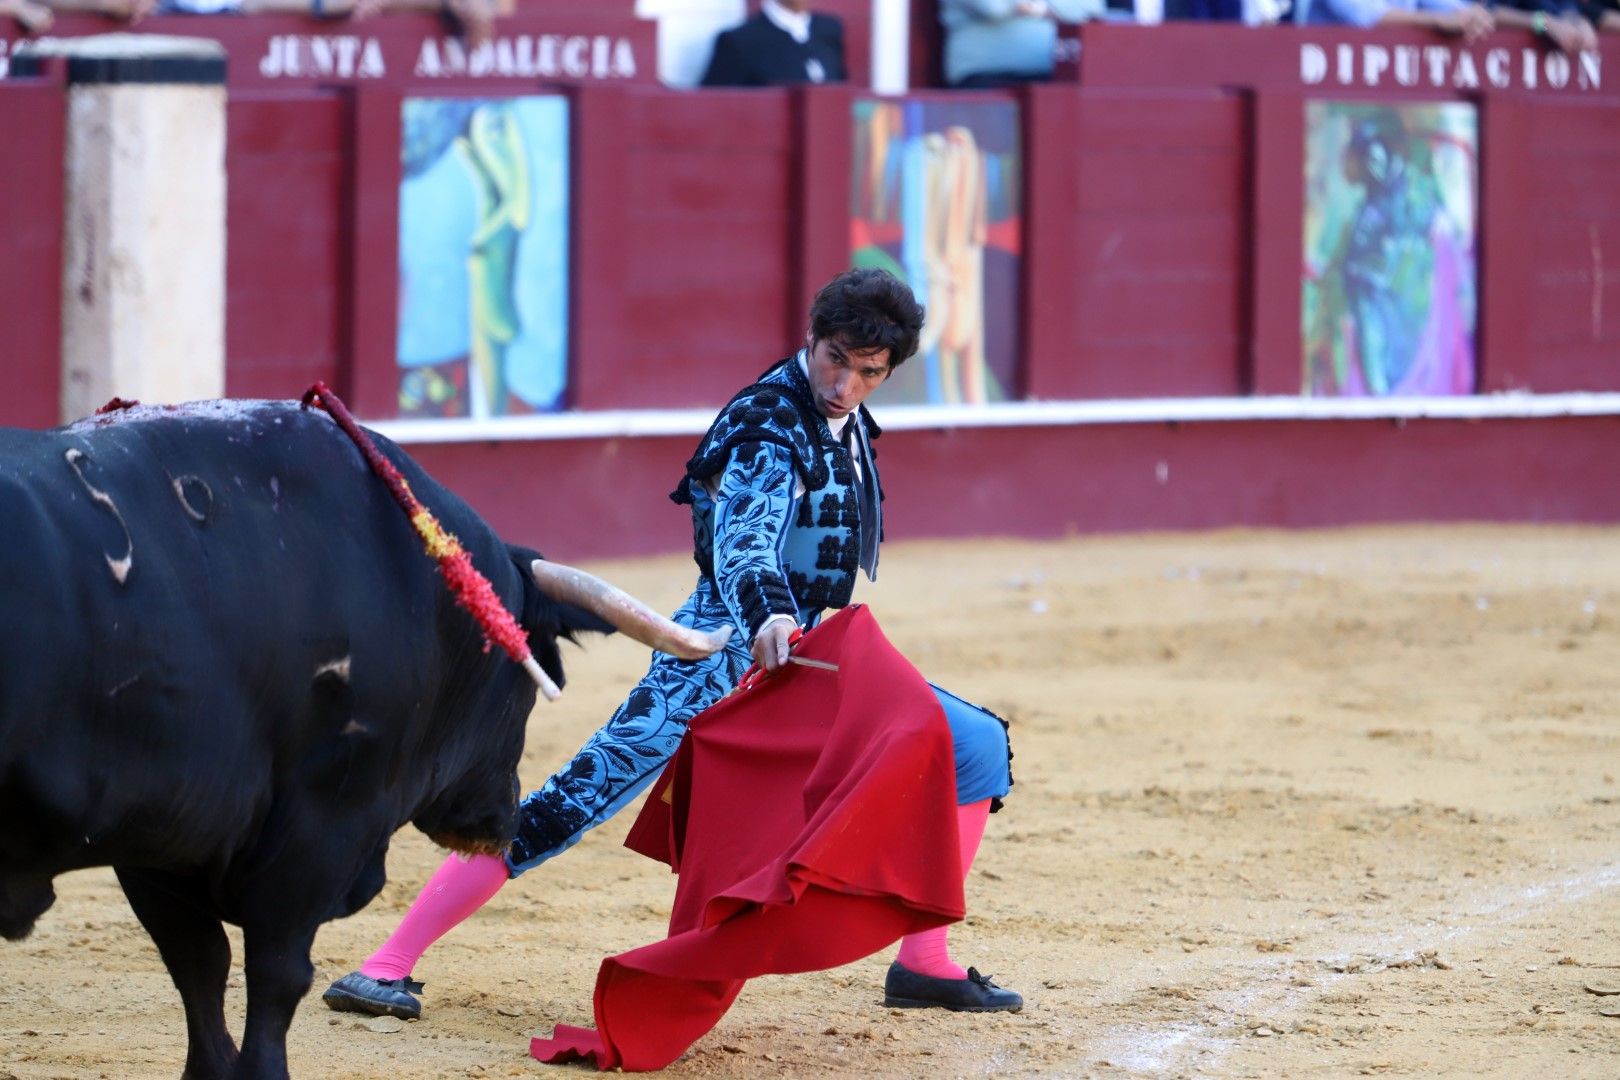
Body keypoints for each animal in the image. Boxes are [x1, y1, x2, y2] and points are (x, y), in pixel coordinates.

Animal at [0, 401, 677, 1075]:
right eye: (538, 679)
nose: (503, 821)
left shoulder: (157, 845)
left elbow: (200, 968)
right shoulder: (321, 825)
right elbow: (272, 976)